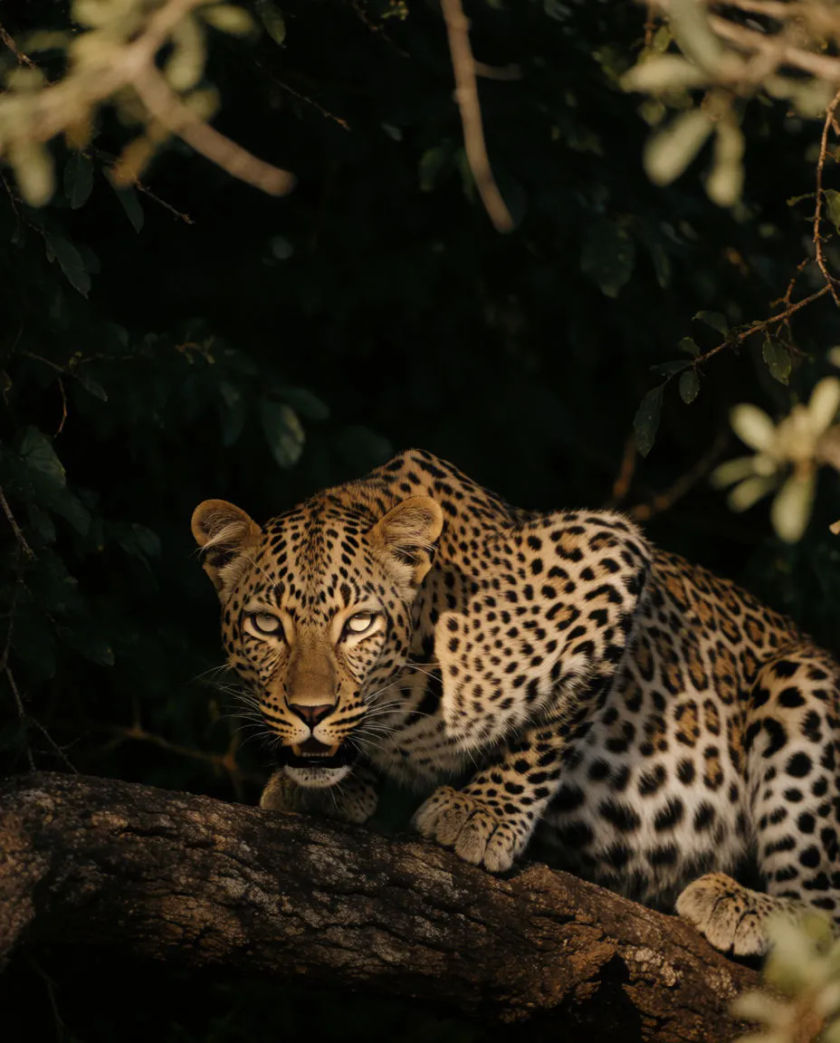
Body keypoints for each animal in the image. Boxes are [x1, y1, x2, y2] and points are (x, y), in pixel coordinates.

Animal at [191, 448, 840, 956]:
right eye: (266, 625)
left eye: (358, 624)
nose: (311, 712)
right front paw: (319, 788)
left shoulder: (611, 554)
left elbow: (548, 733)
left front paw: (483, 813)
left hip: (801, 682)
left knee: (826, 916)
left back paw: (739, 904)